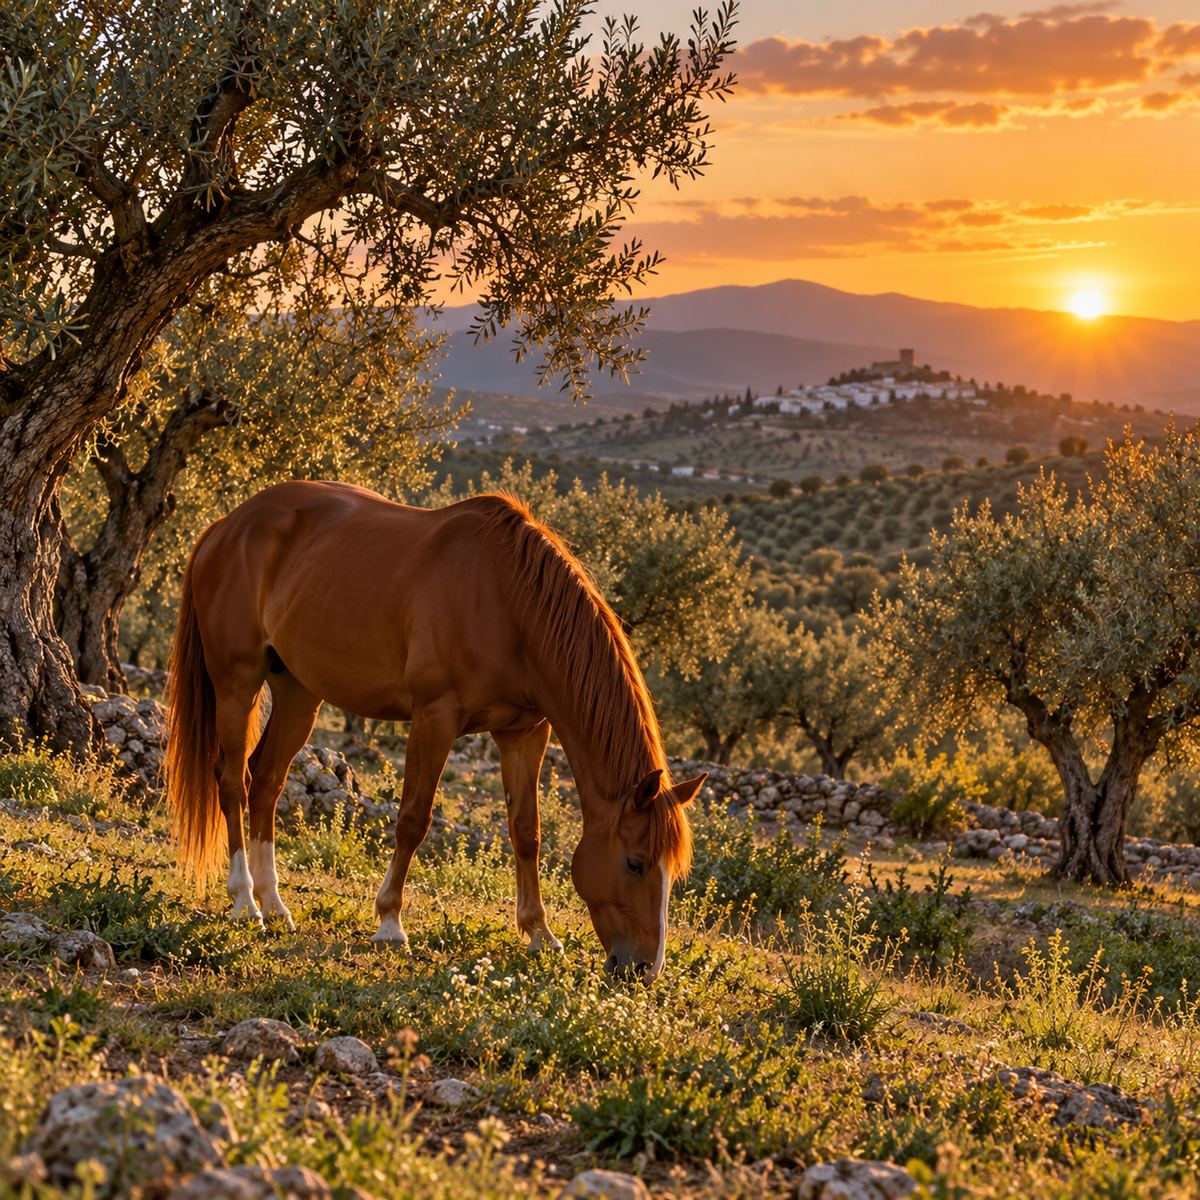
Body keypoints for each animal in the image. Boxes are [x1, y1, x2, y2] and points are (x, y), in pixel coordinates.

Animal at [165, 480, 705, 982]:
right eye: (635, 862)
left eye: (672, 872)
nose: (644, 968)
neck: (508, 603)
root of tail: (225, 526)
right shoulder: (434, 718)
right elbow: (413, 820)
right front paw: (389, 922)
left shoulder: (525, 733)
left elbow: (525, 832)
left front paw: (539, 933)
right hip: (237, 683)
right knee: (232, 780)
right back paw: (244, 903)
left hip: (298, 692)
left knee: (267, 781)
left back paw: (274, 904)